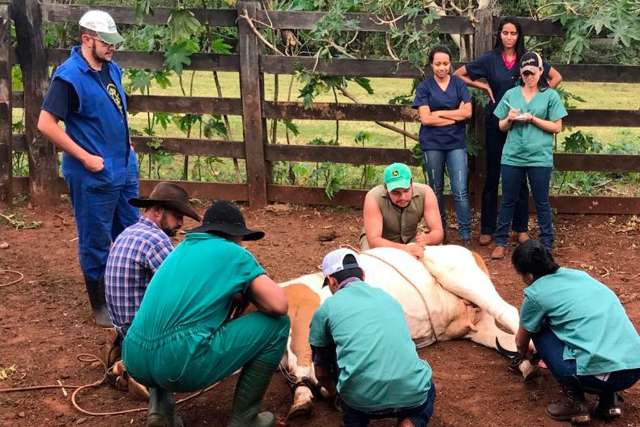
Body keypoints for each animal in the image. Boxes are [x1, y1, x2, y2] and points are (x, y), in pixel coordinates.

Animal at [280, 246, 536, 420]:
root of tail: (469, 251)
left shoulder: (306, 319)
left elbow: (303, 363)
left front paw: (303, 398)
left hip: (467, 282)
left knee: (508, 311)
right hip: (481, 326)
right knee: (505, 339)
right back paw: (527, 365)